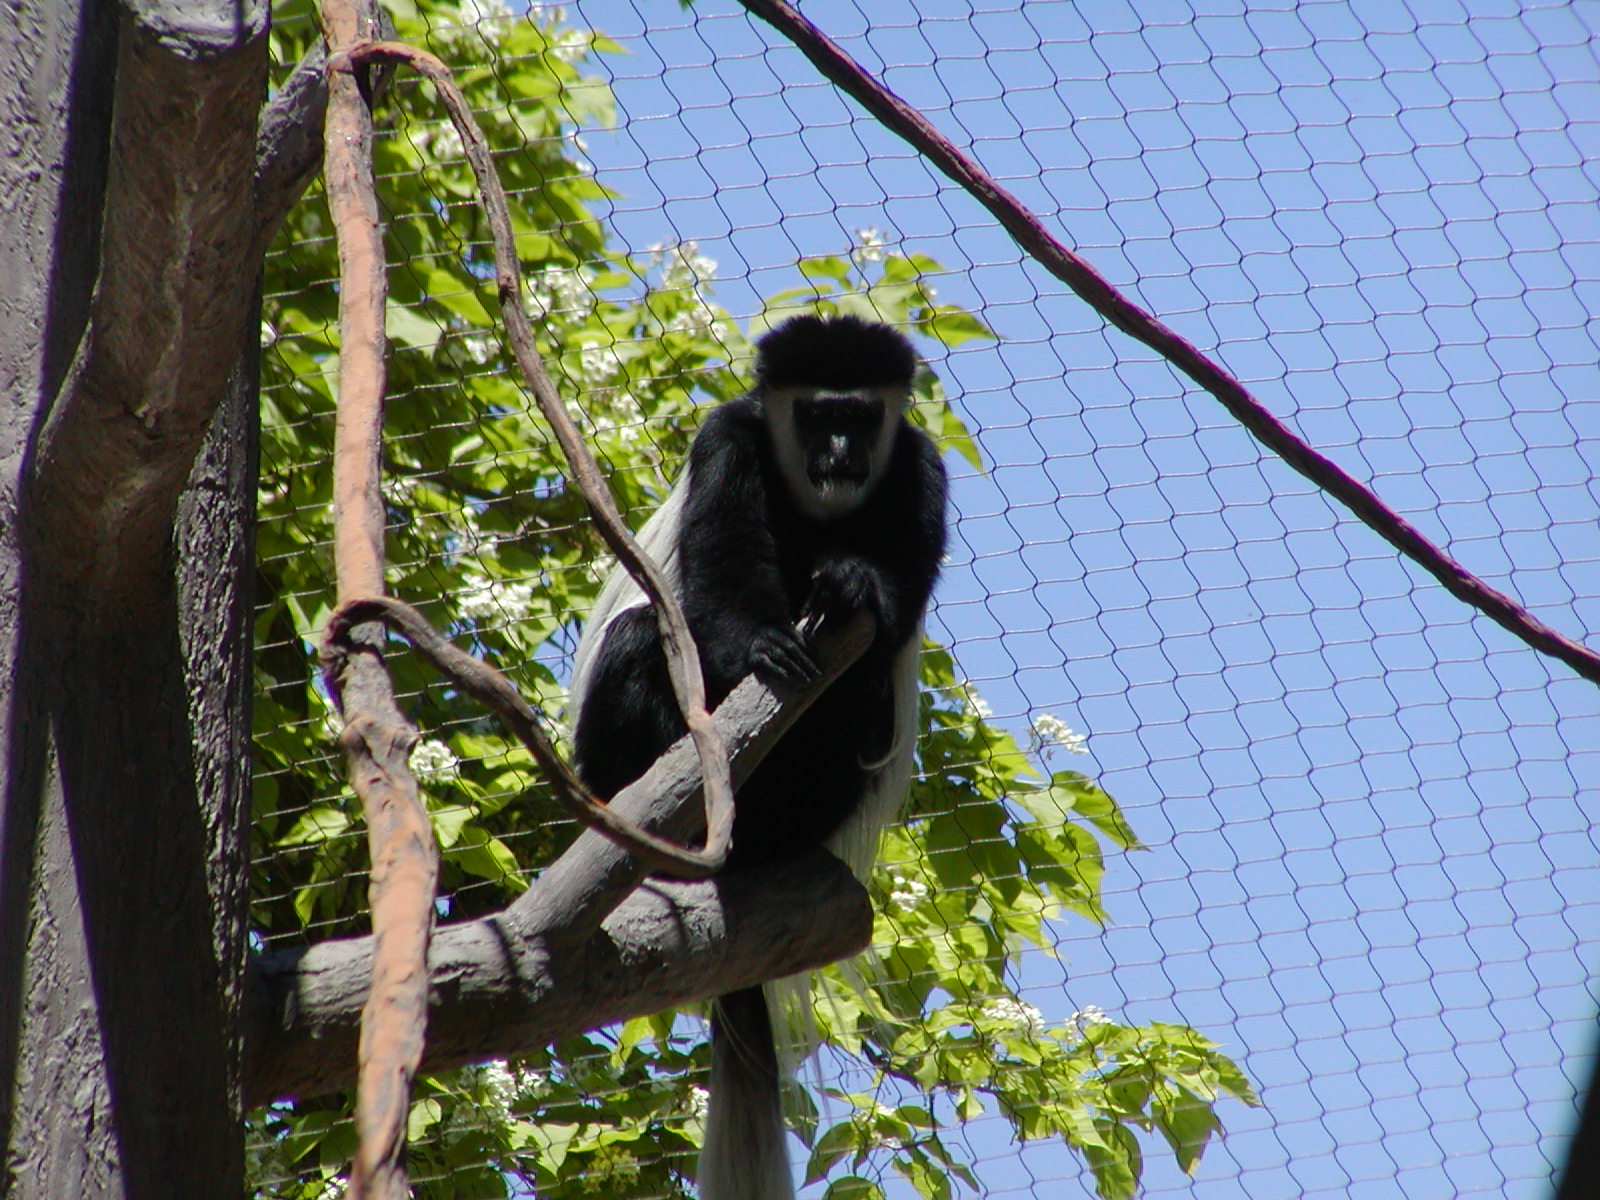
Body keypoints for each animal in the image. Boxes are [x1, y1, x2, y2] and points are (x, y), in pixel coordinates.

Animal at [569, 313, 949, 1199]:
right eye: (815, 414)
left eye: (860, 417)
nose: (839, 452)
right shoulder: (727, 443)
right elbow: (720, 568)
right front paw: (765, 646)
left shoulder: (920, 467)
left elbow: (903, 590)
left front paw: (855, 583)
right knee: (639, 637)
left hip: (823, 795)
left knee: (861, 709)